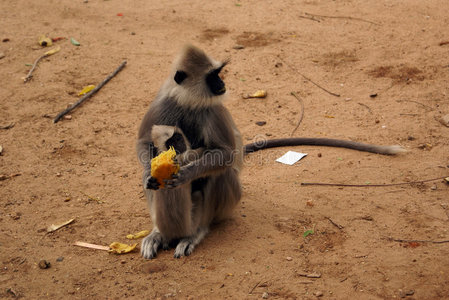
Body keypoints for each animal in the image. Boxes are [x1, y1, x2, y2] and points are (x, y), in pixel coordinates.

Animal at [136, 44, 402, 260]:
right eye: (213, 76)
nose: (222, 84)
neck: (189, 102)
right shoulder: (163, 102)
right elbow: (143, 144)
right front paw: (153, 171)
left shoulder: (213, 110)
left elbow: (225, 154)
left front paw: (186, 172)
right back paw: (160, 233)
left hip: (228, 204)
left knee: (222, 173)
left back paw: (195, 232)